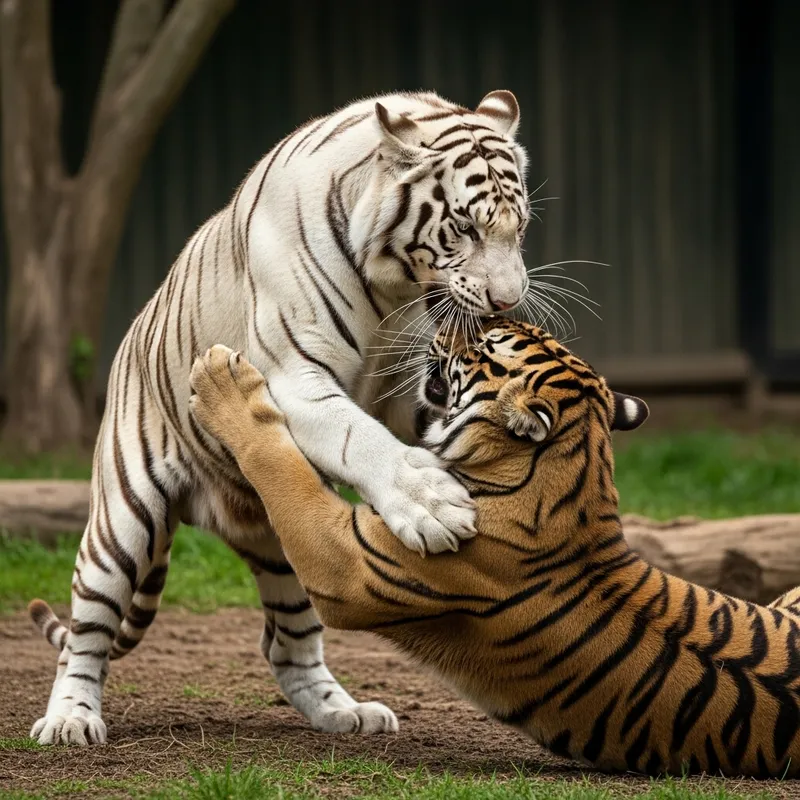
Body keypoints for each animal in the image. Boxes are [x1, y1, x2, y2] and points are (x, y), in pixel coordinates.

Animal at [27, 90, 533, 746]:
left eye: (519, 227)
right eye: (466, 227)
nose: (508, 301)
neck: (396, 286)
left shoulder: (420, 384)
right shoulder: (294, 376)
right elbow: (361, 440)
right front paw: (432, 507)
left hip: (282, 548)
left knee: (285, 643)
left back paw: (344, 712)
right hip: (121, 522)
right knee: (87, 633)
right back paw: (70, 718)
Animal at [186, 320, 800, 779]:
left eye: (483, 345)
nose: (441, 315)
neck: (575, 466)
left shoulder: (346, 561)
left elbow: (281, 463)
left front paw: (221, 377)